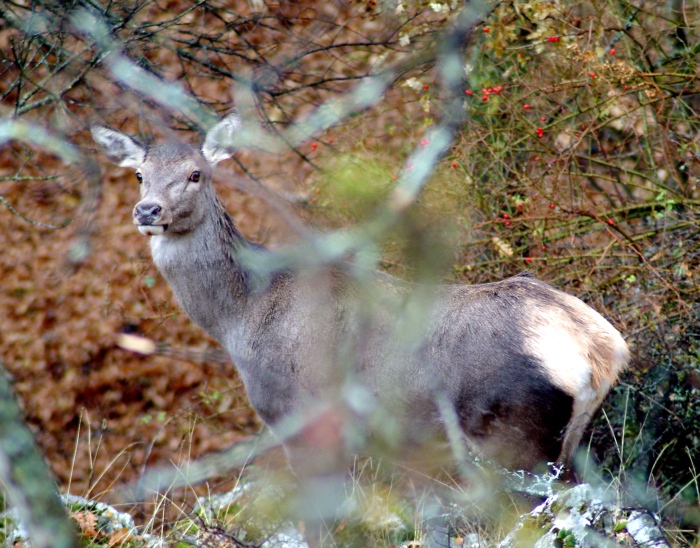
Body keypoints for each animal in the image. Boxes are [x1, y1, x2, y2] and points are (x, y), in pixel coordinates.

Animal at [91, 111, 628, 544]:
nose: (148, 210)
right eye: (139, 174)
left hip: (516, 435)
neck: (239, 317)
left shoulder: (298, 414)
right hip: (568, 442)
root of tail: (603, 351)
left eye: (196, 174)